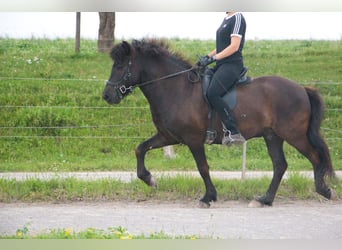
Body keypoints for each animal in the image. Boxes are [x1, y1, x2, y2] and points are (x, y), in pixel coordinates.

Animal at [102, 39, 336, 207]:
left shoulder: (193, 140)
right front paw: (149, 179)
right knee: (280, 165)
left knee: (315, 157)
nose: (106, 96)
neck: (176, 88)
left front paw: (208, 197)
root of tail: (302, 88)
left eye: (120, 65)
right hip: (273, 136)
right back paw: (265, 199)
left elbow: (202, 167)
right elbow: (140, 149)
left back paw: (324, 190)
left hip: (294, 134)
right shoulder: (168, 136)